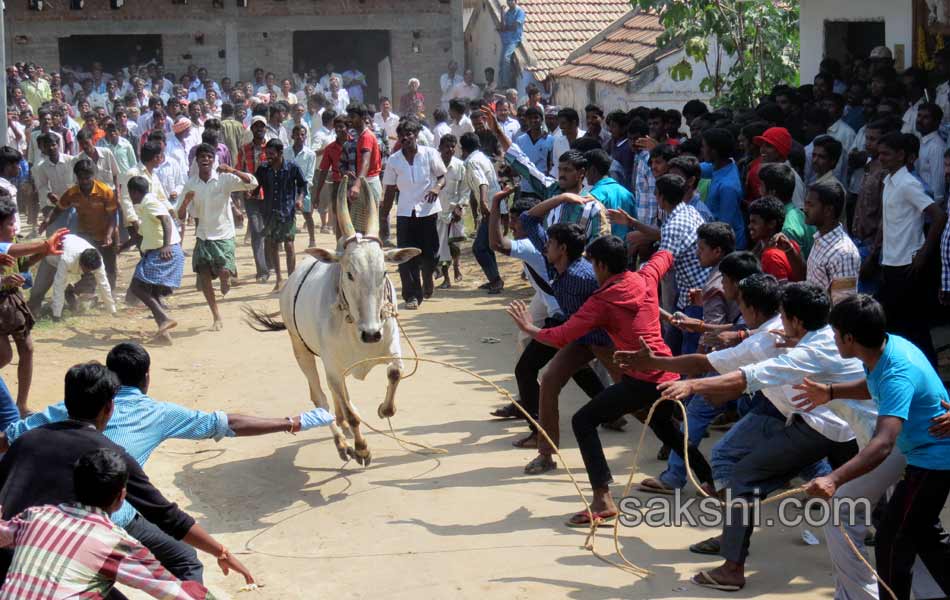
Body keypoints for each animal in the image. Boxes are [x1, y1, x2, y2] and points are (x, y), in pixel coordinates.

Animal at [247, 180, 418, 466]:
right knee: (321, 399)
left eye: (383, 272)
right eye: (349, 273)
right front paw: (361, 449)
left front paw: (384, 410)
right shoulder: (333, 366)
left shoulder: (391, 345)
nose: (371, 334)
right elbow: (349, 412)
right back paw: (341, 442)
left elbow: (395, 373)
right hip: (302, 351)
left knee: (337, 397)